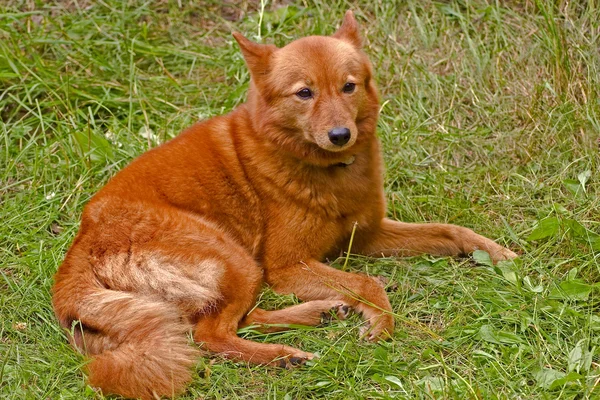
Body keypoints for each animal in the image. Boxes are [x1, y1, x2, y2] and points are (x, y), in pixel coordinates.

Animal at [54, 10, 516, 400]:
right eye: (304, 93)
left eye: (348, 85)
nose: (340, 135)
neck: (326, 170)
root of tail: (78, 255)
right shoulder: (287, 265)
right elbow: (369, 282)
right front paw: (381, 321)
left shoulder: (367, 235)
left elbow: (450, 231)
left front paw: (497, 254)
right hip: (238, 261)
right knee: (210, 335)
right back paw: (284, 355)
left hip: (238, 273)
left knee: (230, 320)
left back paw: (320, 312)